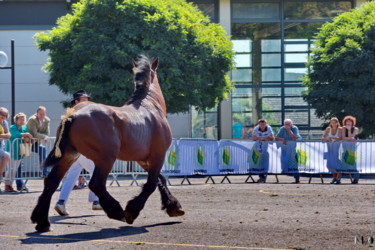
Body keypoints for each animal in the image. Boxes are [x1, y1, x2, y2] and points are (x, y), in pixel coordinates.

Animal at [30, 55, 185, 232]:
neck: (149, 106)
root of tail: (73, 115)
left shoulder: (144, 160)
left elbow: (161, 180)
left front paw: (173, 206)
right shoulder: (158, 156)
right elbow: (152, 183)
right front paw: (132, 210)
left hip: (69, 156)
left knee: (51, 182)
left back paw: (42, 222)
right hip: (105, 159)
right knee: (96, 184)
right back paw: (117, 211)